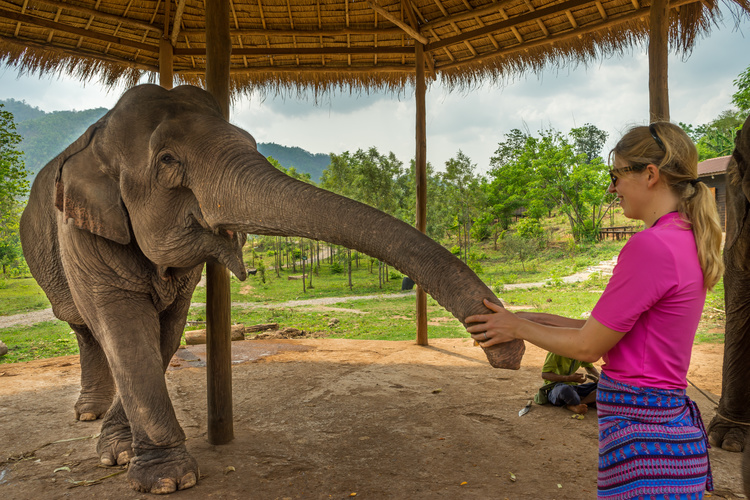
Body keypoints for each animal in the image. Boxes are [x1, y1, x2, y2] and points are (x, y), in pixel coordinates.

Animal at [19, 84, 524, 494]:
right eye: (167, 161)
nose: (506, 353)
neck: (101, 135)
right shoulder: (79, 231)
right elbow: (124, 324)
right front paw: (165, 479)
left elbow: (166, 329)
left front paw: (125, 452)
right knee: (83, 327)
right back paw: (88, 413)